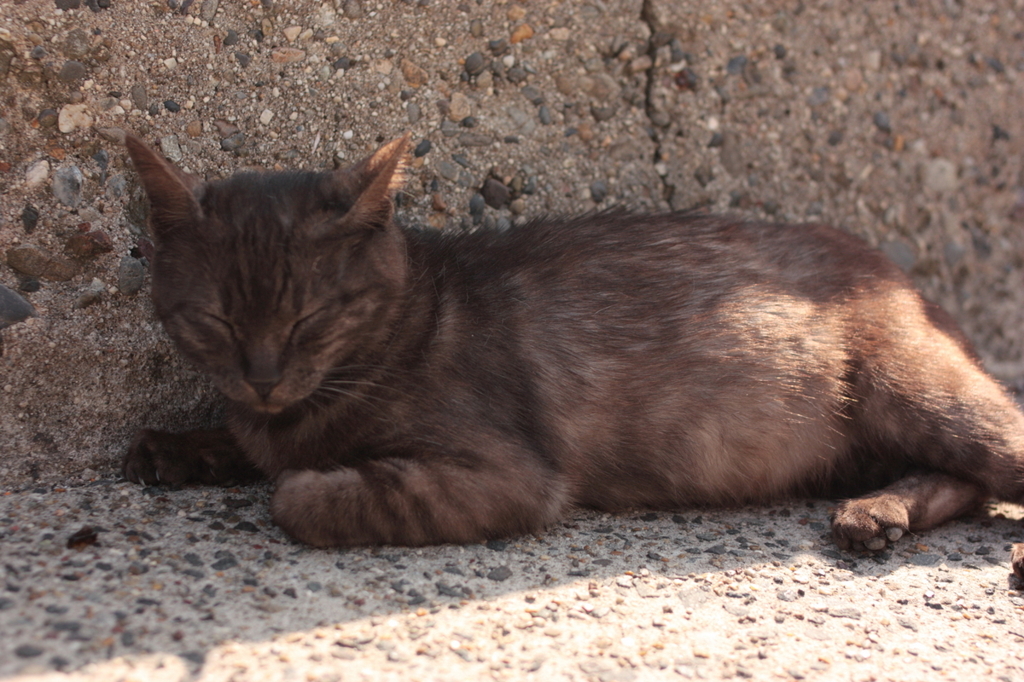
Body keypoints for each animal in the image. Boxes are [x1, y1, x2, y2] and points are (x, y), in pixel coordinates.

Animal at [119, 134, 1024, 573]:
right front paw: (180, 446)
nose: (264, 377)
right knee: (965, 481)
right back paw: (878, 514)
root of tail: (897, 270)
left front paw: (297, 473)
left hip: (910, 387)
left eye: (310, 317)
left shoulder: (510, 476)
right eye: (215, 320)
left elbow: (300, 495)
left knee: (997, 456)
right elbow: (244, 441)